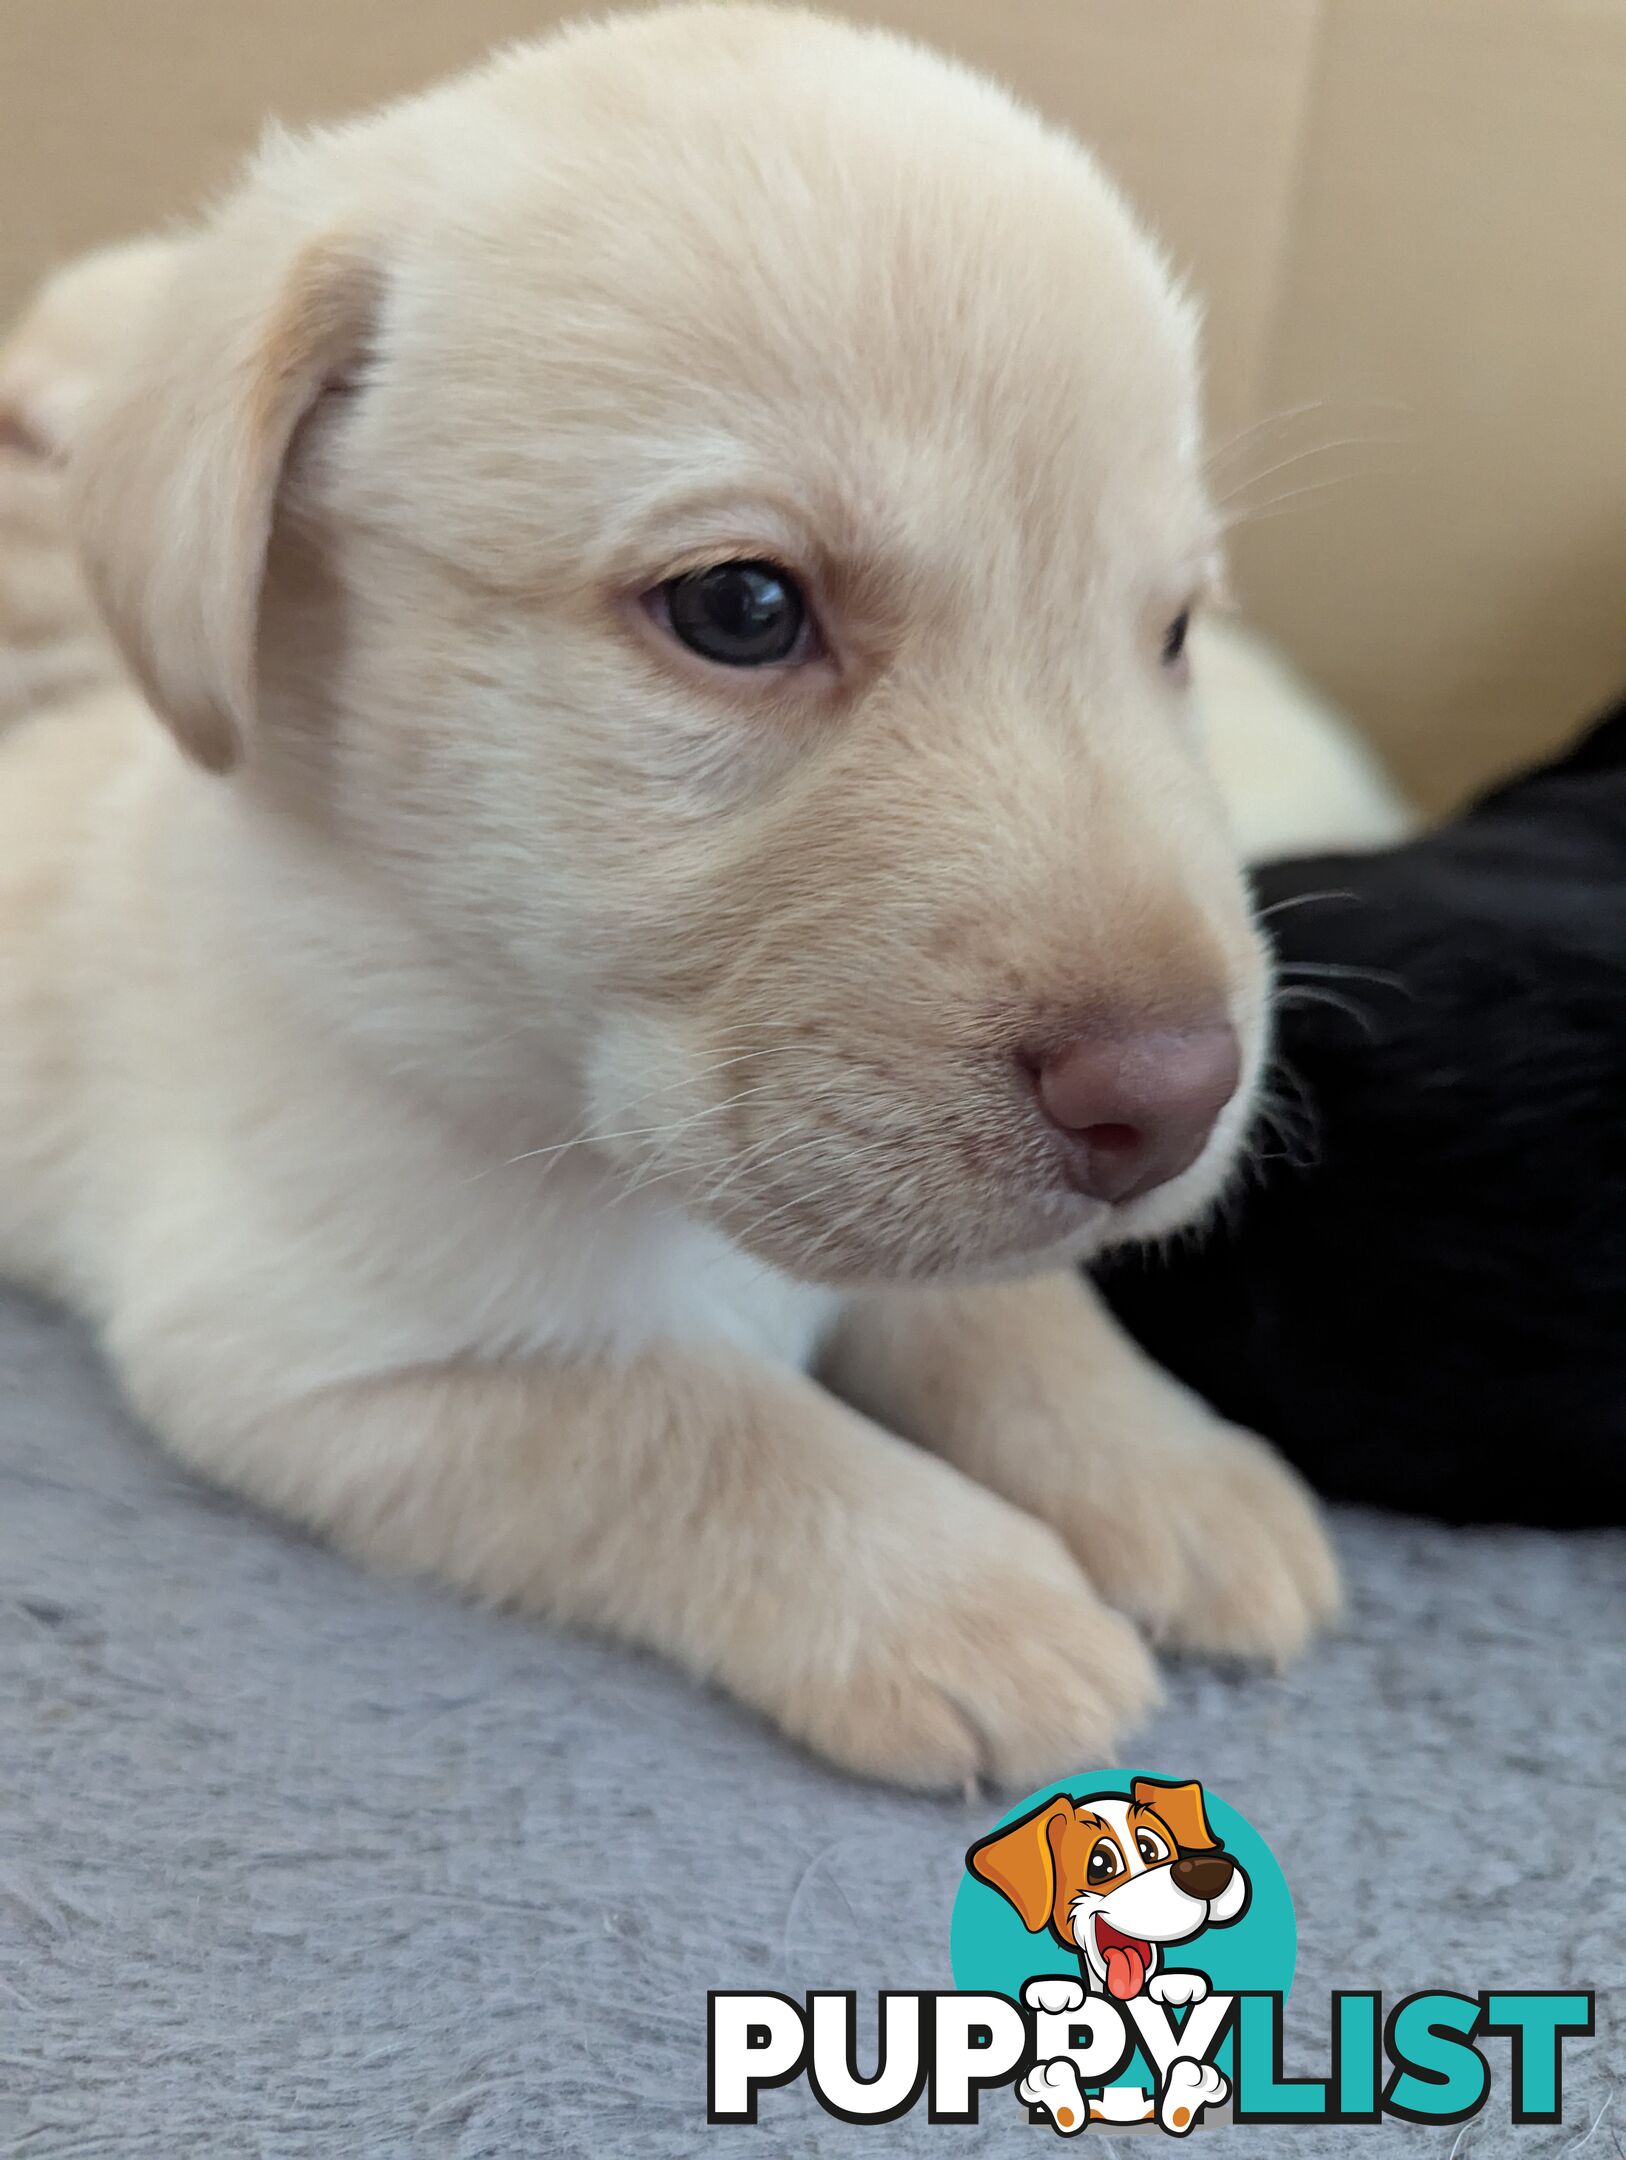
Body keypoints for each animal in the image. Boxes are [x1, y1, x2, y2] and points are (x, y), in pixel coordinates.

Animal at [0, 8, 1330, 1779]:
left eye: (1171, 632)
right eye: (742, 607)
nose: (1173, 1101)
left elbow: (1002, 1306)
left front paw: (1164, 1467)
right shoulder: (314, 1365)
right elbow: (692, 1424)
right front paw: (968, 1601)